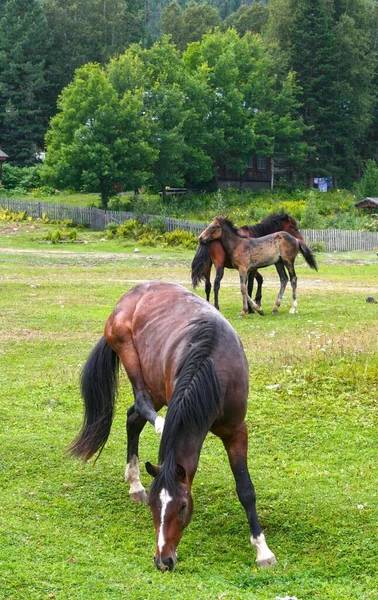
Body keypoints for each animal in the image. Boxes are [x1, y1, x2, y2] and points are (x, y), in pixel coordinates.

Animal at [68, 282, 274, 572]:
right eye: (154, 507)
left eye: (183, 506)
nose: (162, 560)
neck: (213, 364)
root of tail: (128, 297)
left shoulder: (236, 431)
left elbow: (245, 489)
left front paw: (262, 550)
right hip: (132, 358)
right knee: (141, 403)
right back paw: (155, 437)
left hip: (154, 384)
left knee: (133, 418)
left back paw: (135, 481)